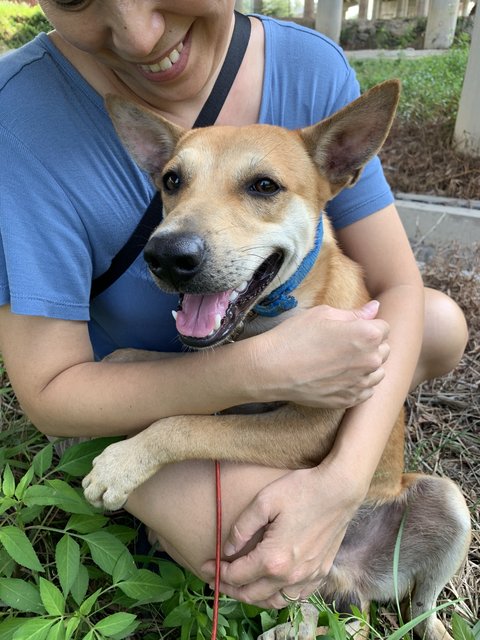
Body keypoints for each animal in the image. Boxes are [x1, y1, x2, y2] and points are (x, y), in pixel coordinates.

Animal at [81, 81, 468, 640]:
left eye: (264, 185)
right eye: (172, 180)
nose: (166, 256)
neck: (272, 316)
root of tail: (349, 579)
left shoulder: (310, 427)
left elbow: (186, 422)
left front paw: (123, 461)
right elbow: (163, 365)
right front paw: (124, 359)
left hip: (448, 502)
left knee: (419, 606)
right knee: (309, 612)